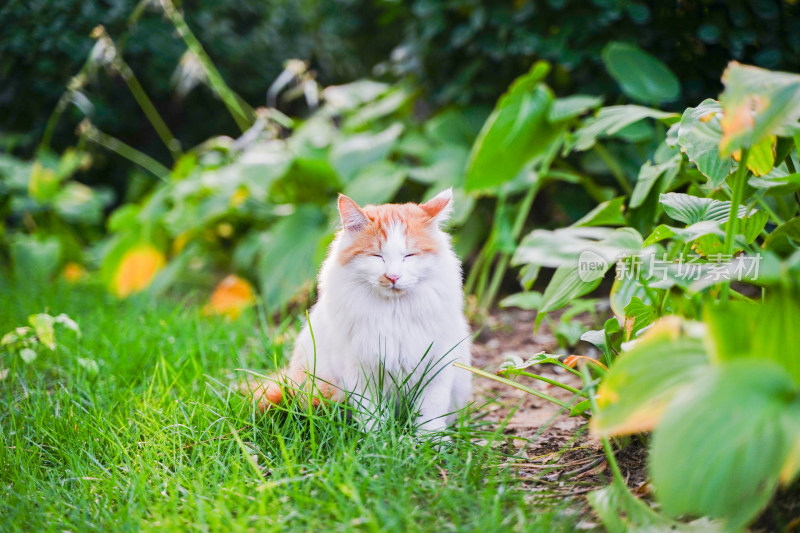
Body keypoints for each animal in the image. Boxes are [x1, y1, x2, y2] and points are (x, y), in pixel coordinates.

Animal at [247, 188, 472, 432]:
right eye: (377, 256)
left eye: (409, 255)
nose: (393, 277)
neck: (394, 313)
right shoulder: (361, 371)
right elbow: (371, 413)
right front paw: (376, 437)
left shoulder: (436, 367)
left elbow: (430, 412)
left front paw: (429, 439)